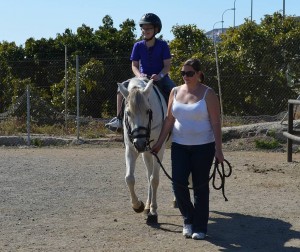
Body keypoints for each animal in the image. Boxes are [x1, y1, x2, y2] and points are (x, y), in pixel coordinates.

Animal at [118, 77, 169, 224]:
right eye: (128, 113)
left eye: (148, 111)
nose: (140, 143)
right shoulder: (131, 150)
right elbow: (129, 178)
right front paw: (138, 206)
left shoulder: (159, 149)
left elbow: (155, 179)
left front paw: (154, 211)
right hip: (146, 153)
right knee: (148, 175)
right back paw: (146, 206)